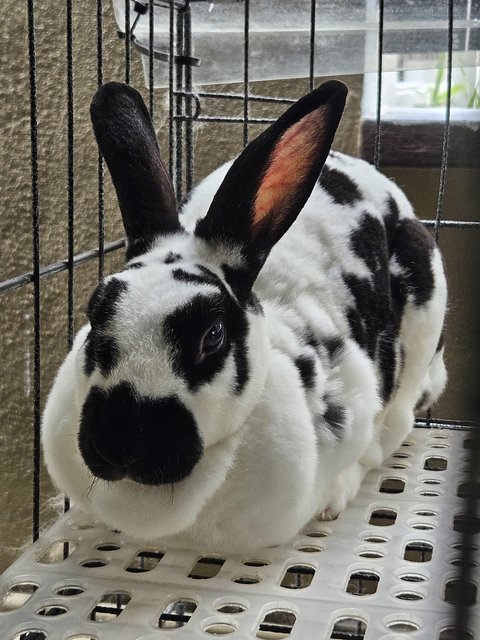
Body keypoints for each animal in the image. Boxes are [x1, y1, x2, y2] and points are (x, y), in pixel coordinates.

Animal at [41, 80, 446, 552]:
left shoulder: (358, 395)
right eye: (95, 314)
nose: (119, 441)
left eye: (212, 335)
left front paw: (335, 496)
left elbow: (363, 452)